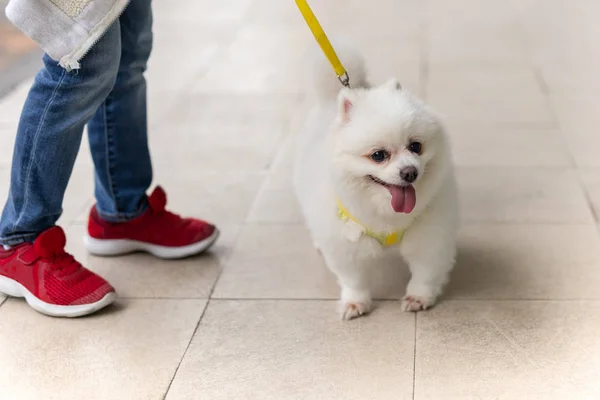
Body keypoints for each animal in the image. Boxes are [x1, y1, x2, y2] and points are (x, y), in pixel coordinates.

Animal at [292, 43, 458, 318]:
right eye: (378, 155)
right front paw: (355, 302)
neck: (387, 217)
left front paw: (418, 297)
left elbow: (425, 273)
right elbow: (354, 279)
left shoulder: (429, 235)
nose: (410, 172)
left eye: (416, 146)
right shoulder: (346, 245)